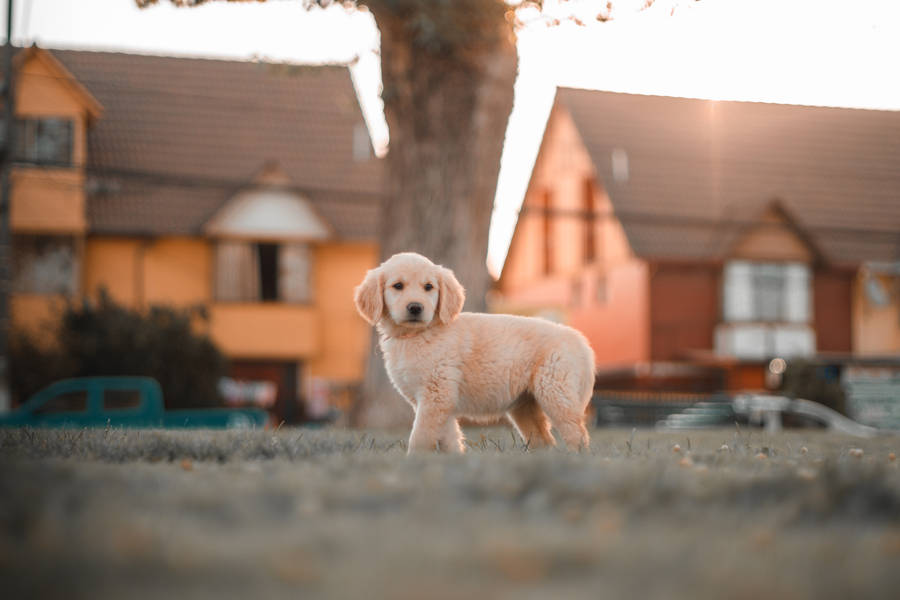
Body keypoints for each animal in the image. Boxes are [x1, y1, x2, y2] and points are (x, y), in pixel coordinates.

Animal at [354, 253, 596, 454]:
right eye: (397, 286)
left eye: (428, 287)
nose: (415, 307)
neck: (418, 335)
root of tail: (577, 339)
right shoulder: (437, 401)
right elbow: (448, 436)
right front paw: (454, 459)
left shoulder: (436, 394)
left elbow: (420, 435)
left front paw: (414, 460)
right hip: (525, 405)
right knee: (544, 440)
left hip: (555, 392)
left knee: (576, 433)